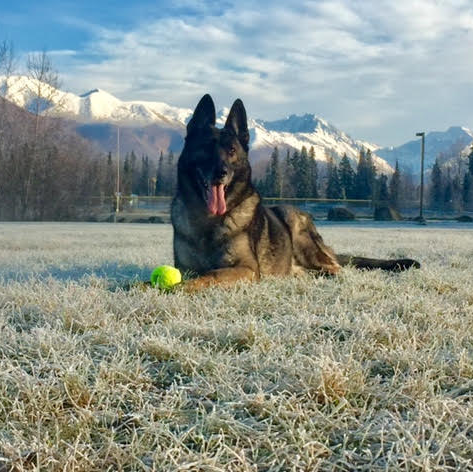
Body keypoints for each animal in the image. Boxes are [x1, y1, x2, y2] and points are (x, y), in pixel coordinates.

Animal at [171, 94, 420, 290]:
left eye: (231, 151)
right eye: (205, 148)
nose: (221, 172)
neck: (208, 221)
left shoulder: (248, 268)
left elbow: (210, 275)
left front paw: (182, 288)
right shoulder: (184, 267)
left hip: (295, 224)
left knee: (336, 268)